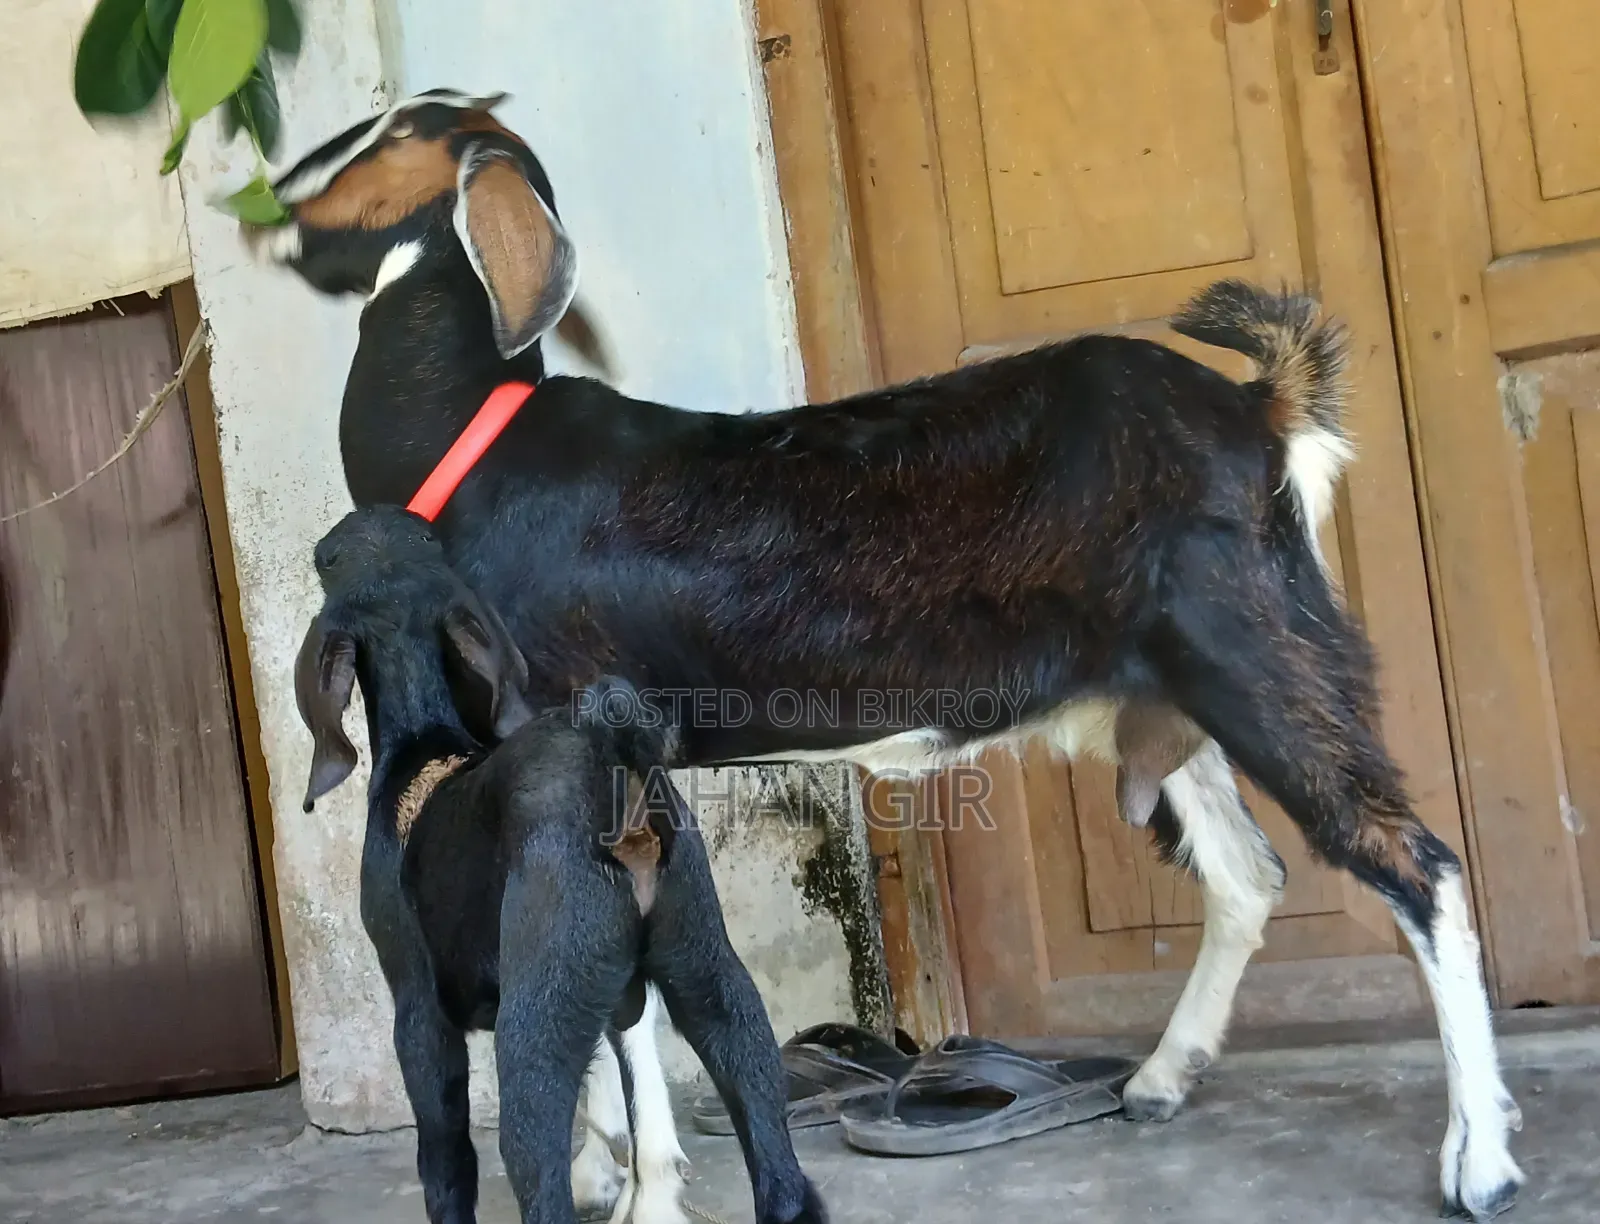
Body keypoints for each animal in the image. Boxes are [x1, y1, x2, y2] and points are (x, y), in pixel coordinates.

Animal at [292, 504, 826, 1224]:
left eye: (325, 559)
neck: (424, 748)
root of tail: (606, 747)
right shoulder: (620, 1001)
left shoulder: (418, 1010)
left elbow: (446, 1156)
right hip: (712, 977)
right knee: (778, 1163)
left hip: (535, 1022)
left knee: (537, 1170)